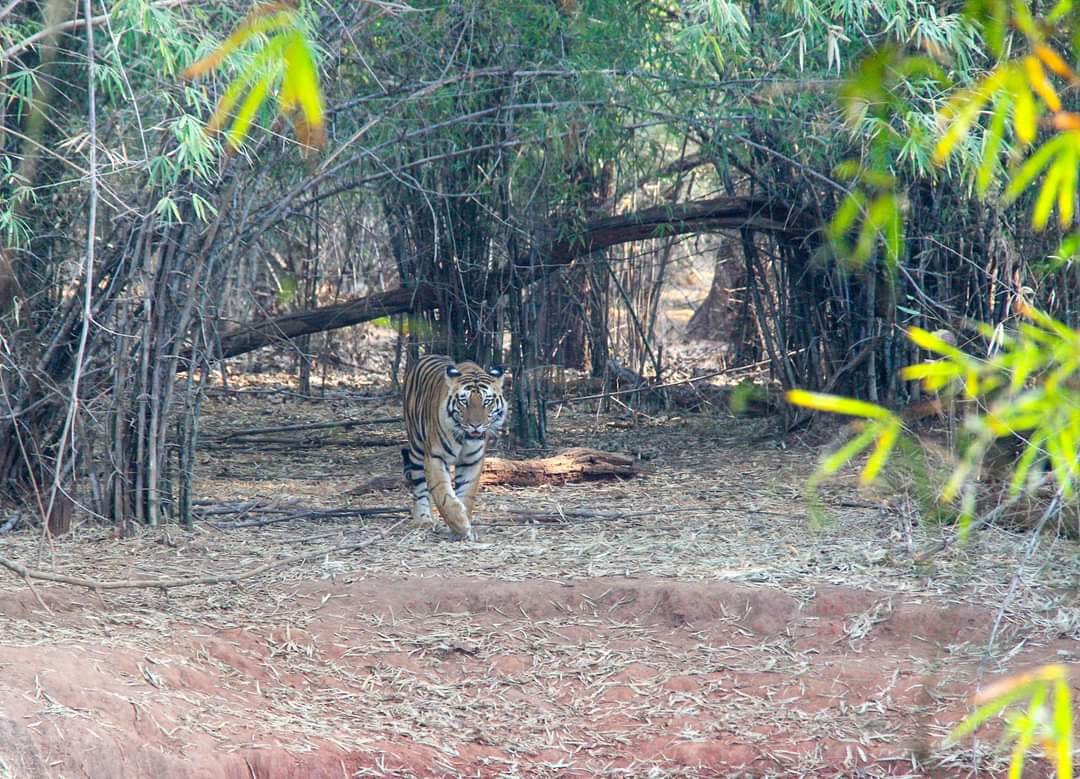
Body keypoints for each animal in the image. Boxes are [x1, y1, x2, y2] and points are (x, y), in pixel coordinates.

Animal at [401, 355, 508, 540]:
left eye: (487, 401)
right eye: (464, 401)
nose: (475, 425)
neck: (464, 440)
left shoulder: (472, 461)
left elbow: (466, 493)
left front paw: (463, 526)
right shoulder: (435, 457)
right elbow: (443, 494)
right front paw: (460, 525)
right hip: (416, 448)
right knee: (420, 487)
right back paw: (423, 519)